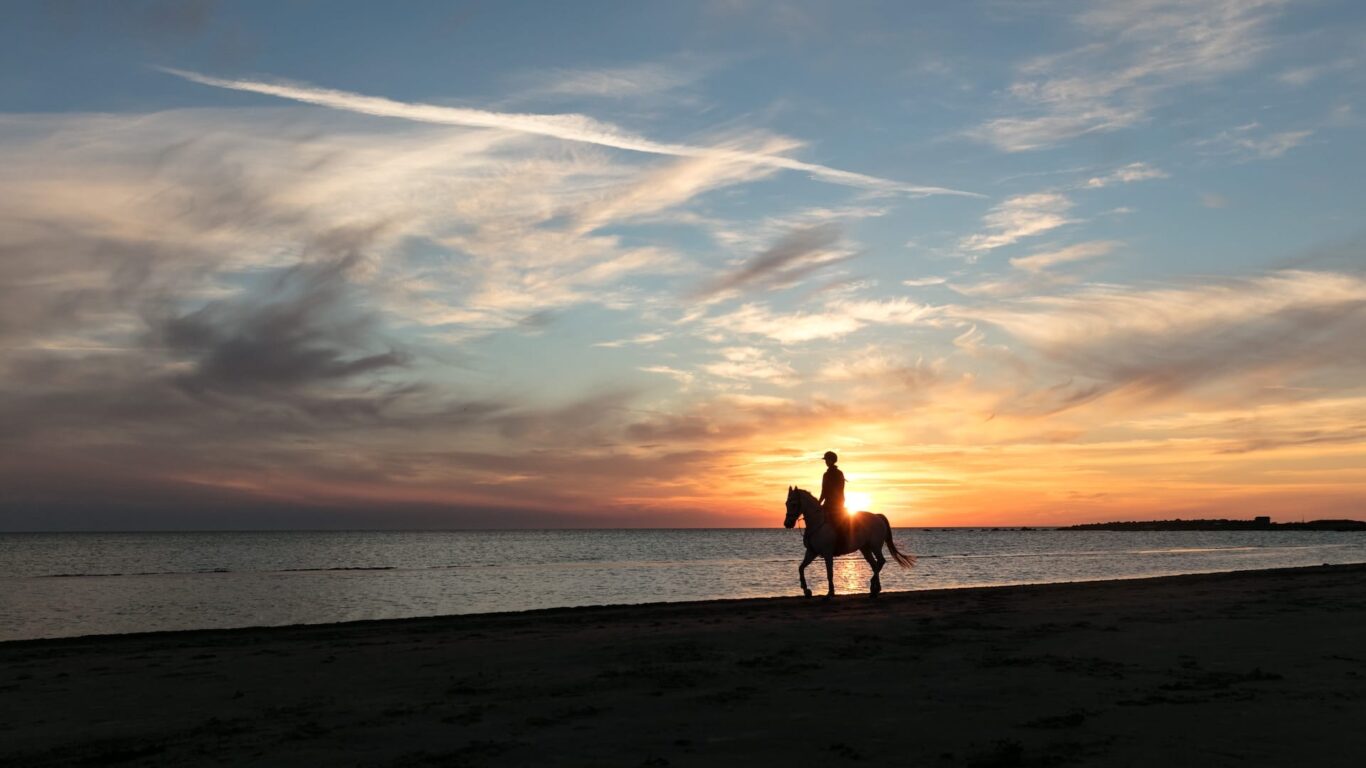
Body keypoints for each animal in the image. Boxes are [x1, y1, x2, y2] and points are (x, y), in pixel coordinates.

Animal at [783, 486, 915, 598]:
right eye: (786, 504)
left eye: (794, 504)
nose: (787, 524)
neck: (817, 523)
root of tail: (877, 517)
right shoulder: (811, 552)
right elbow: (801, 568)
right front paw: (806, 590)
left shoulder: (827, 553)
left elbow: (829, 573)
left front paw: (830, 593)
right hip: (865, 549)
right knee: (874, 564)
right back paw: (875, 589)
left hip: (875, 546)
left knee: (880, 561)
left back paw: (873, 586)